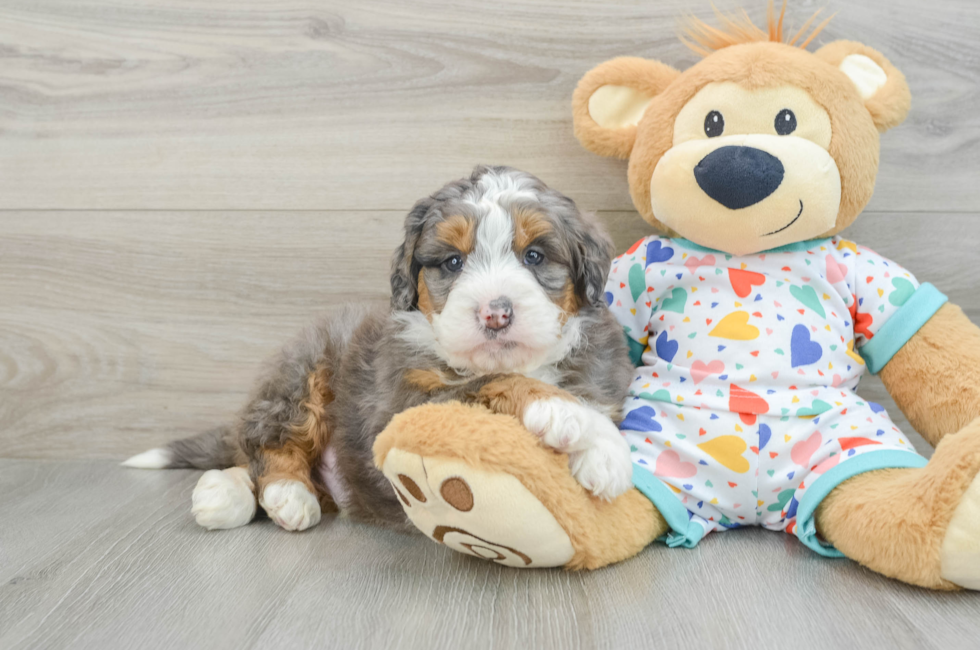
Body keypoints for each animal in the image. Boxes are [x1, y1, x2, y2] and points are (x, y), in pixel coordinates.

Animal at [124, 166, 636, 532]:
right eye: (453, 262)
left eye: (534, 256)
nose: (495, 313)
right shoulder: (401, 405)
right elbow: (497, 380)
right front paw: (573, 419)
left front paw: (602, 454)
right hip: (304, 368)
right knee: (264, 442)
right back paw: (284, 495)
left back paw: (225, 495)